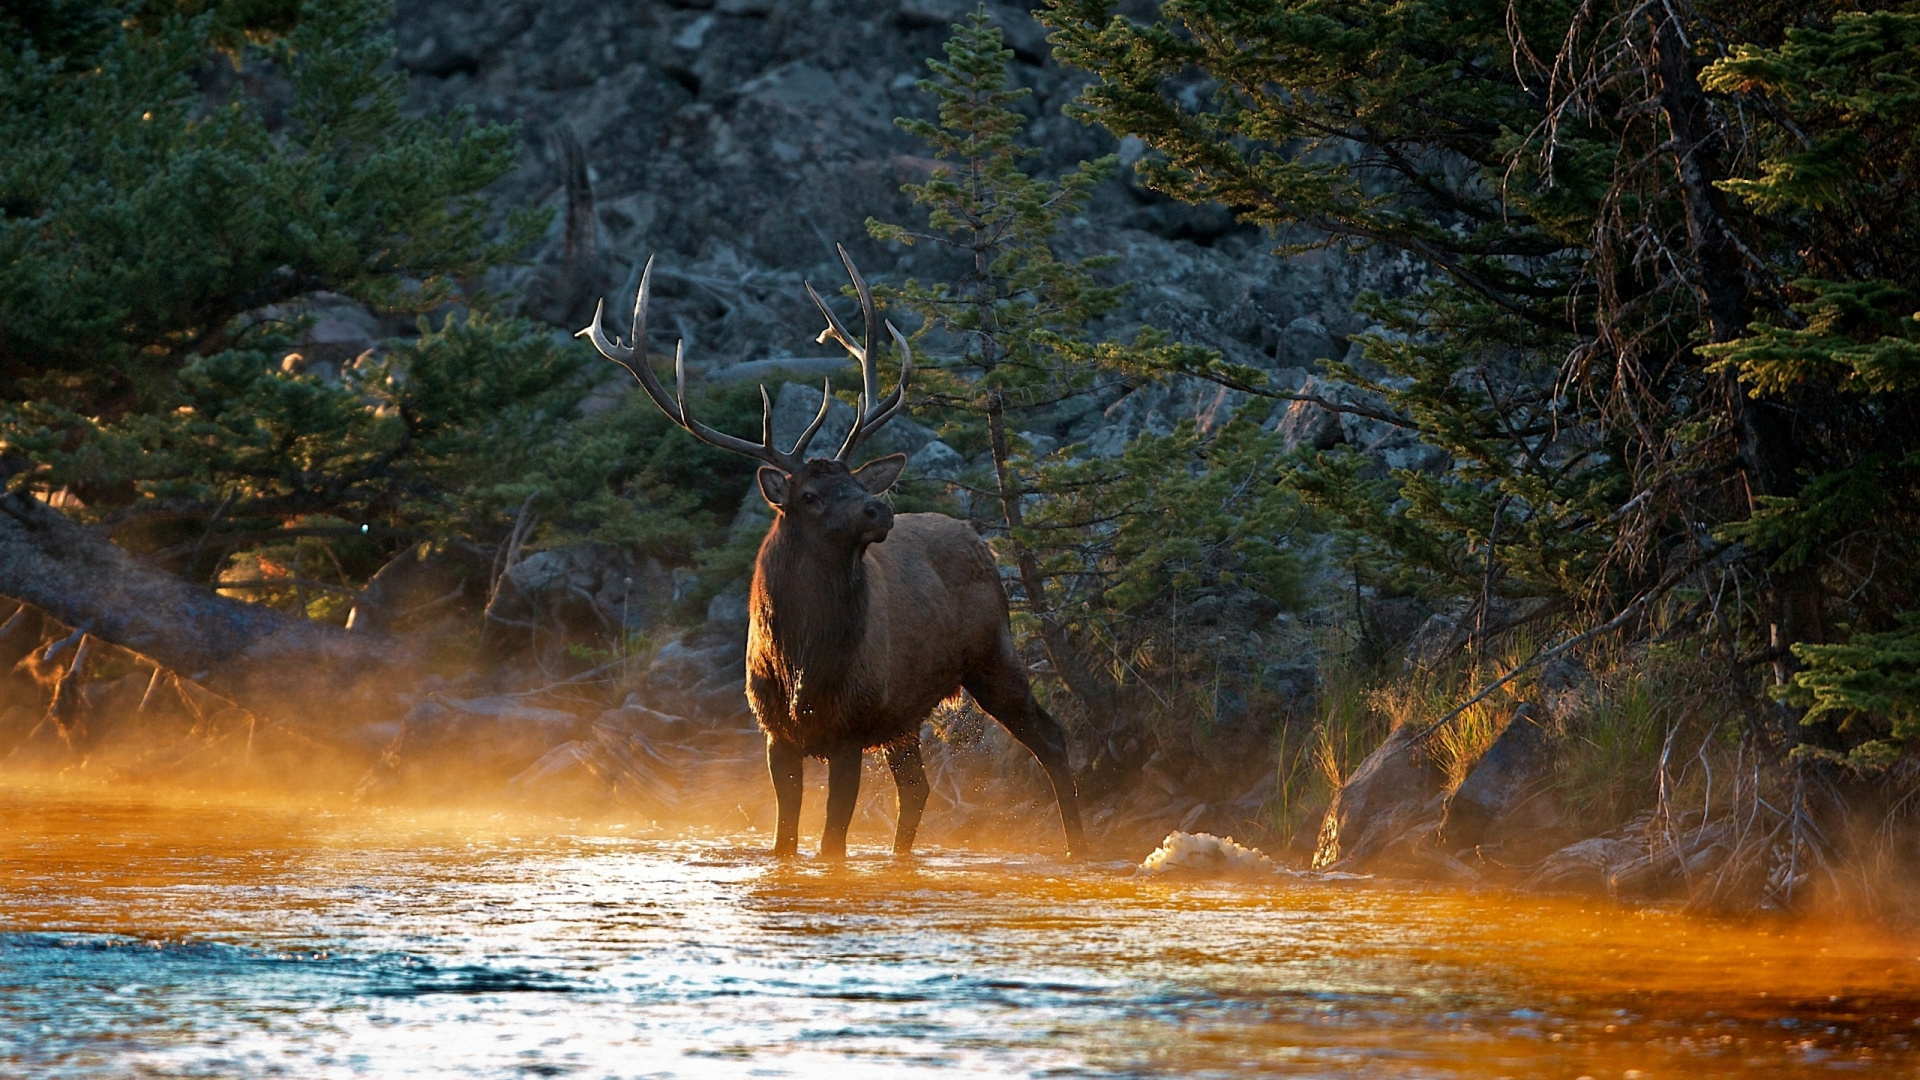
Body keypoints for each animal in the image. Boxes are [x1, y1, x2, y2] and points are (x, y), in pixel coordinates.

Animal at [579, 248, 1086, 860]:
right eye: (811, 495)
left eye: (855, 481)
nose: (878, 508)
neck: (802, 663)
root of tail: (978, 539)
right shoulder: (776, 733)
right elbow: (785, 841)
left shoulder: (850, 728)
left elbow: (831, 844)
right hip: (904, 712)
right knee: (917, 787)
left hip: (993, 653)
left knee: (1050, 737)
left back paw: (1079, 847)